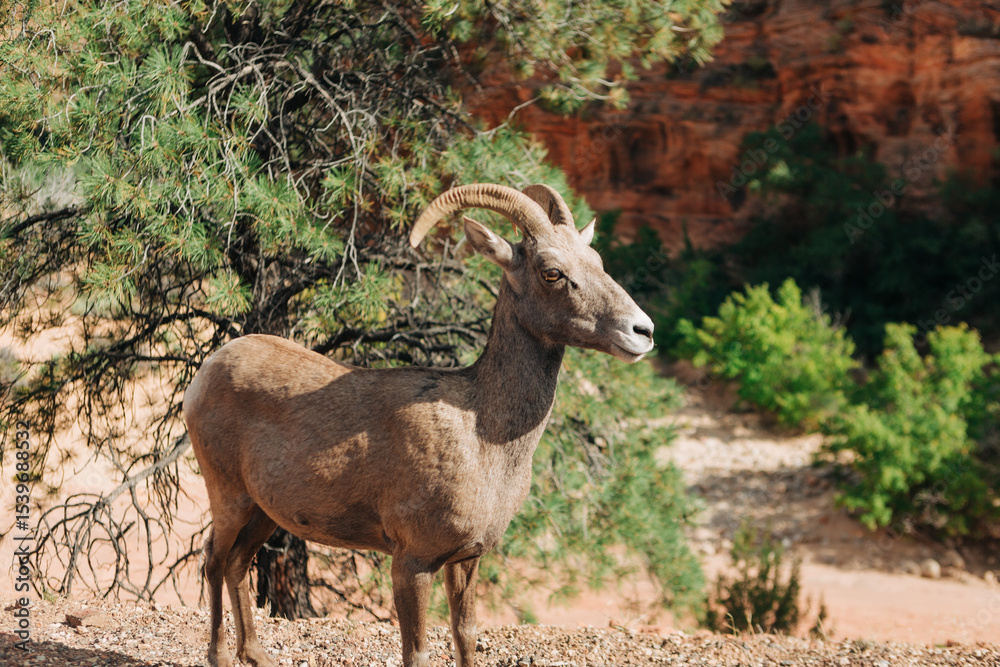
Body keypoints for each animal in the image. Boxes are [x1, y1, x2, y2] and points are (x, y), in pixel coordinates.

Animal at [182, 183, 655, 667]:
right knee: (213, 561)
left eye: (596, 260)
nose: (643, 331)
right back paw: (220, 655)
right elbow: (418, 652)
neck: (483, 440)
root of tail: (209, 369)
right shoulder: (412, 563)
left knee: (237, 564)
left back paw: (256, 655)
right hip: (229, 496)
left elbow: (465, 636)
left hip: (263, 512)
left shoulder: (466, 560)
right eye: (552, 273)